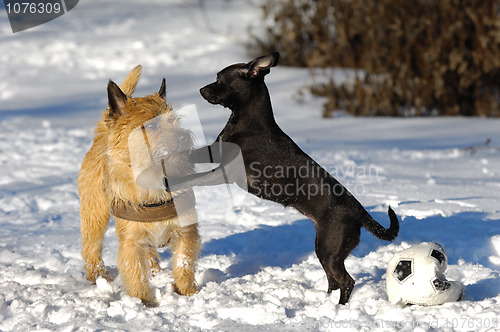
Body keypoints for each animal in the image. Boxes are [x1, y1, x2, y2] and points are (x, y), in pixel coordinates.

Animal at [78, 65, 199, 306]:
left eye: (175, 121)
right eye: (151, 125)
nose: (183, 138)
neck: (153, 178)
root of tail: (102, 135)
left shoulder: (185, 230)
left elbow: (184, 262)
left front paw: (187, 292)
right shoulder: (131, 241)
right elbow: (134, 272)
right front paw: (142, 301)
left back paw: (155, 271)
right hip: (95, 214)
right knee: (91, 247)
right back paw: (98, 277)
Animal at [166, 53, 400, 304]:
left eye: (219, 79)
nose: (201, 89)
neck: (247, 121)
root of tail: (358, 211)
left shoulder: (225, 172)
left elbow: (195, 178)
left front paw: (171, 182)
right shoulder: (213, 151)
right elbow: (188, 154)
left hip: (330, 248)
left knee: (347, 281)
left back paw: (338, 308)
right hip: (324, 248)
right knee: (334, 281)